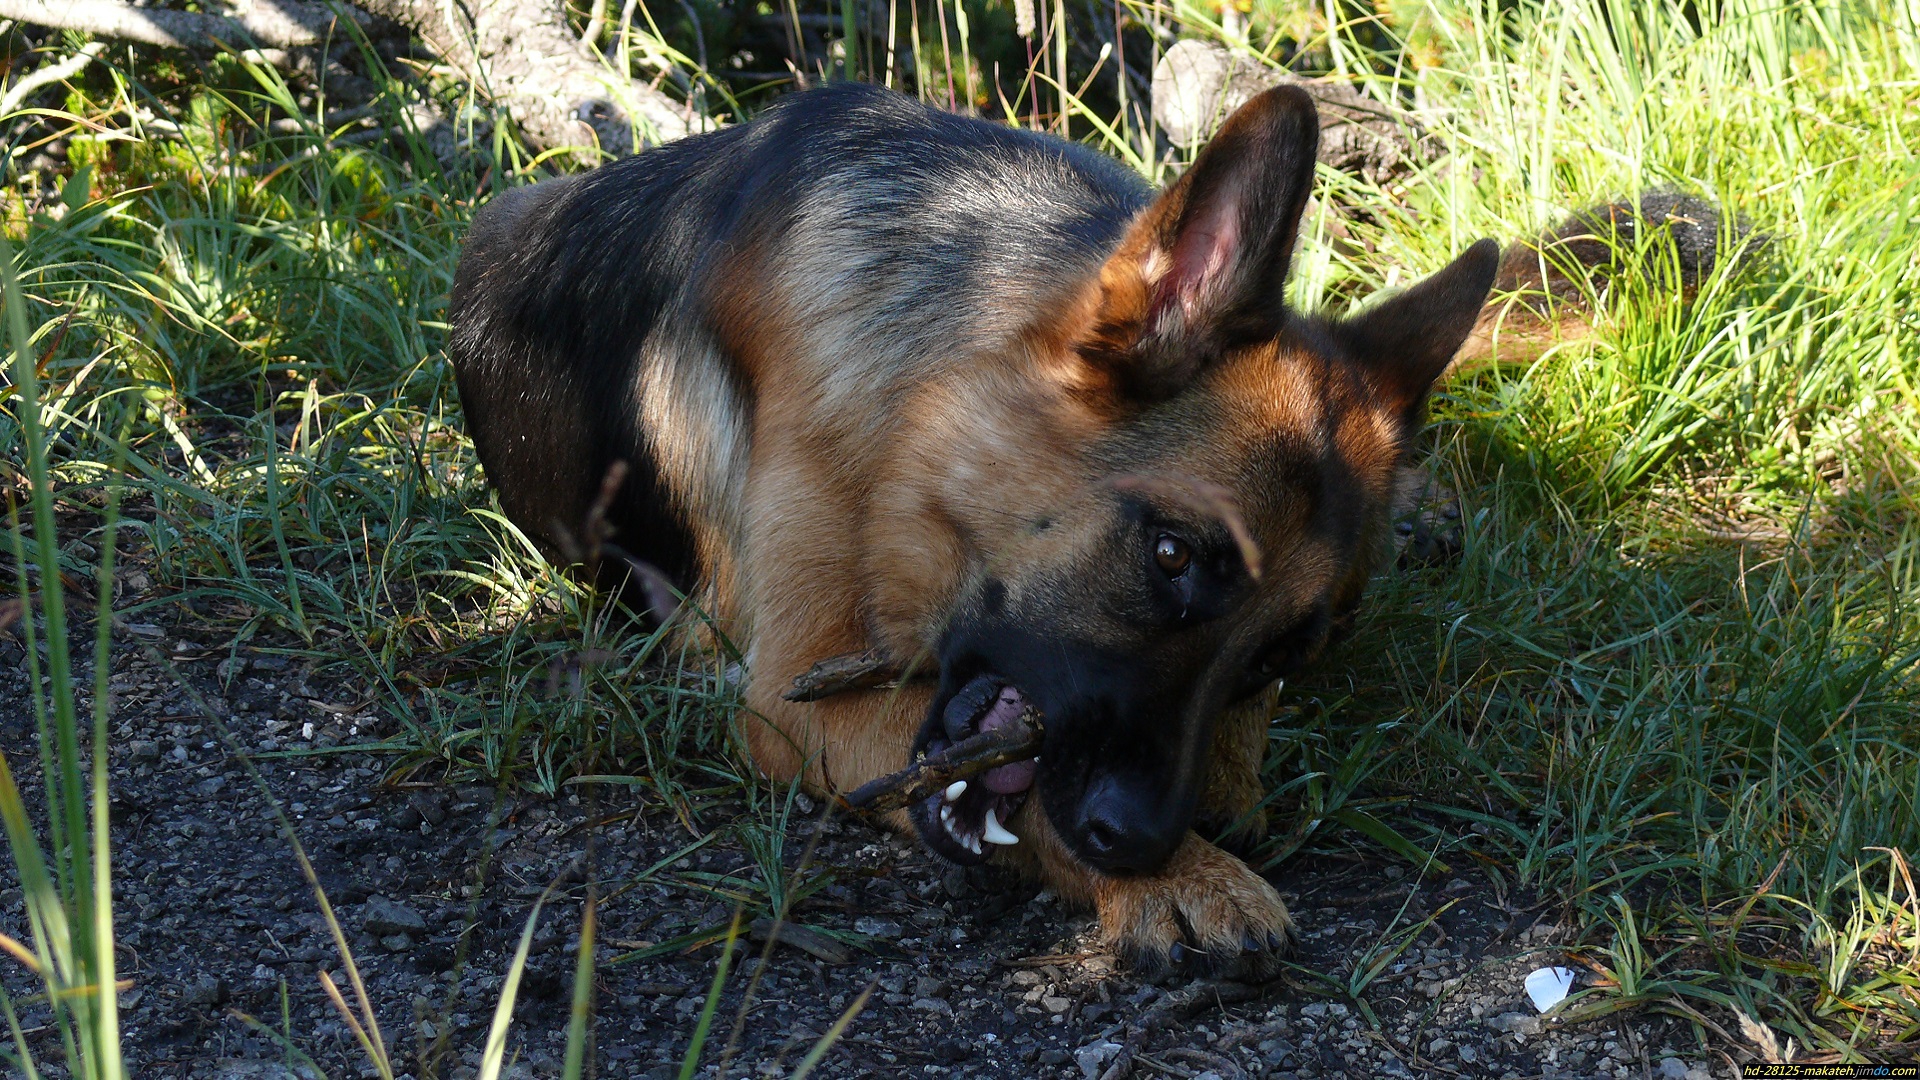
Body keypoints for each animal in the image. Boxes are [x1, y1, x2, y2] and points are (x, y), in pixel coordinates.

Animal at [449, 84, 1497, 972]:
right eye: (1172, 556)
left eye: (1279, 658)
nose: (1143, 841)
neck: (930, 396)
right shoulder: (791, 696)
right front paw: (1190, 876)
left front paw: (1222, 799)